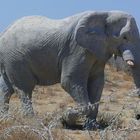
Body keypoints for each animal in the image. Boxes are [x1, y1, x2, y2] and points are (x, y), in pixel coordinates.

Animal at [0, 10, 139, 129]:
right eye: (124, 37)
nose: (137, 116)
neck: (105, 13)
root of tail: (4, 32)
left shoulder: (97, 52)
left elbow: (97, 83)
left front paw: (93, 128)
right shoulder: (76, 49)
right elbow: (70, 81)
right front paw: (65, 116)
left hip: (9, 60)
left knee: (6, 89)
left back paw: (5, 119)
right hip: (15, 59)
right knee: (24, 89)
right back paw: (32, 122)